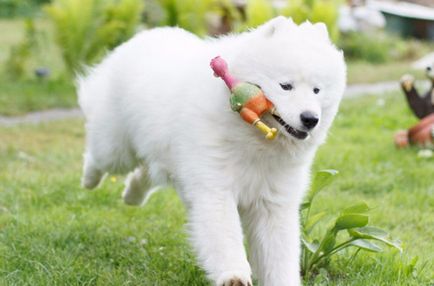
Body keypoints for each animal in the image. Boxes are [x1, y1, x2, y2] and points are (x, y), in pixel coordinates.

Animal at [77, 16, 346, 284]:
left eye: (317, 90)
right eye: (286, 86)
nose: (310, 119)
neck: (255, 142)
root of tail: (144, 35)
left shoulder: (273, 202)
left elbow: (278, 256)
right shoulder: (215, 188)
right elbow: (225, 238)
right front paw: (234, 276)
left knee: (145, 172)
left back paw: (132, 195)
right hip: (116, 148)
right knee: (98, 156)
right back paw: (89, 181)